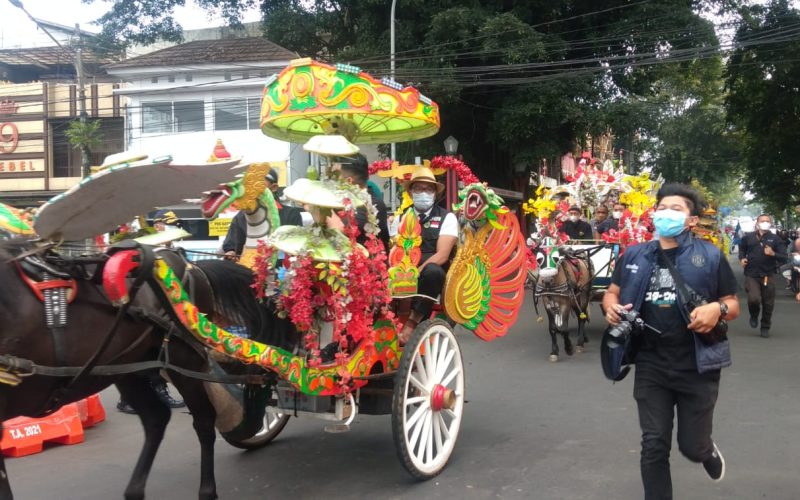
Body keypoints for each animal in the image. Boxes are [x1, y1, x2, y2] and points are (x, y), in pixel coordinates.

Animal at [0, 239, 288, 500]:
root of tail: (189, 264)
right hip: (126, 367)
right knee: (156, 418)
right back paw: (135, 490)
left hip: (184, 361)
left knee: (204, 420)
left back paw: (206, 491)